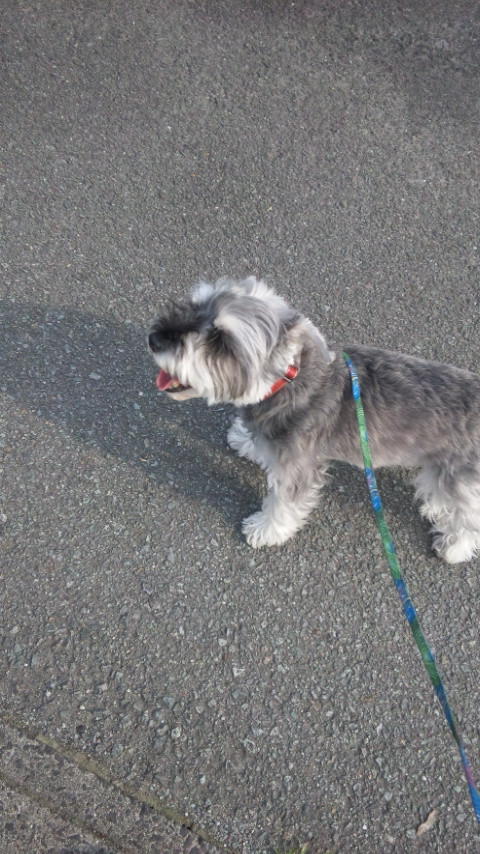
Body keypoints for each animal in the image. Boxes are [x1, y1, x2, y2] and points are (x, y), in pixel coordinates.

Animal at [148, 276, 480, 563]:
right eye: (193, 305)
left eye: (219, 338)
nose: (154, 339)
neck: (286, 380)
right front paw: (246, 440)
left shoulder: (297, 468)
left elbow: (283, 504)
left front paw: (265, 529)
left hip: (459, 476)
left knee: (468, 516)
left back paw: (454, 546)